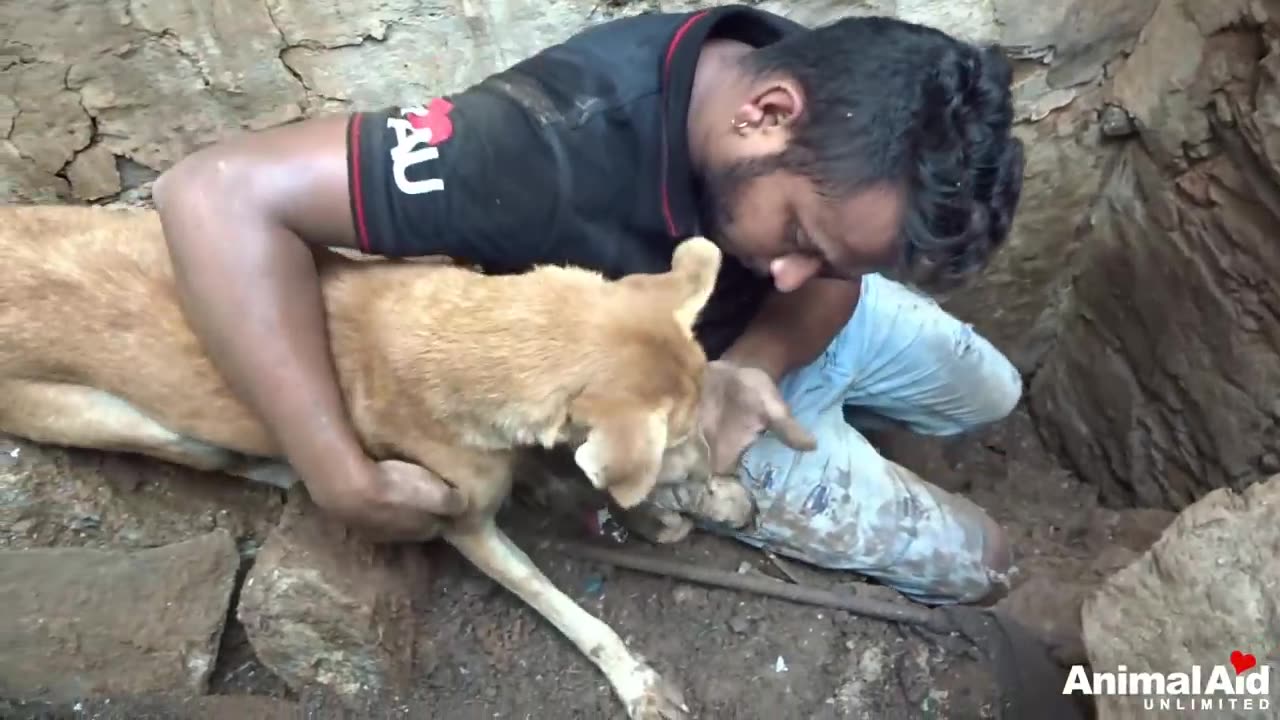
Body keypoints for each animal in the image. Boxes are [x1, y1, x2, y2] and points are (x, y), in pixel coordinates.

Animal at [0, 203, 757, 717]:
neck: (471, 332)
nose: (713, 467)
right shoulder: (470, 524)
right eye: (679, 432)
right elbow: (563, 602)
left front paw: (682, 507)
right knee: (223, 455)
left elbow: (576, 472)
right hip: (134, 423)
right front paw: (635, 678)